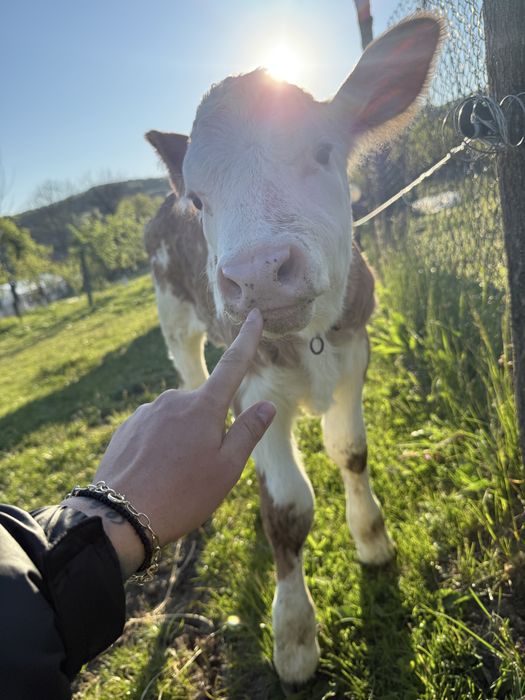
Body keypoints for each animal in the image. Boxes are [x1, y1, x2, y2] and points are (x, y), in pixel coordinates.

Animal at [144, 14, 443, 686]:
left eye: (323, 151)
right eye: (199, 199)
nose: (258, 273)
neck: (308, 342)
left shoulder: (356, 356)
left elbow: (351, 452)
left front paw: (373, 541)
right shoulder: (254, 385)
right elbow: (287, 509)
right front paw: (295, 639)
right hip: (176, 321)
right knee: (190, 373)